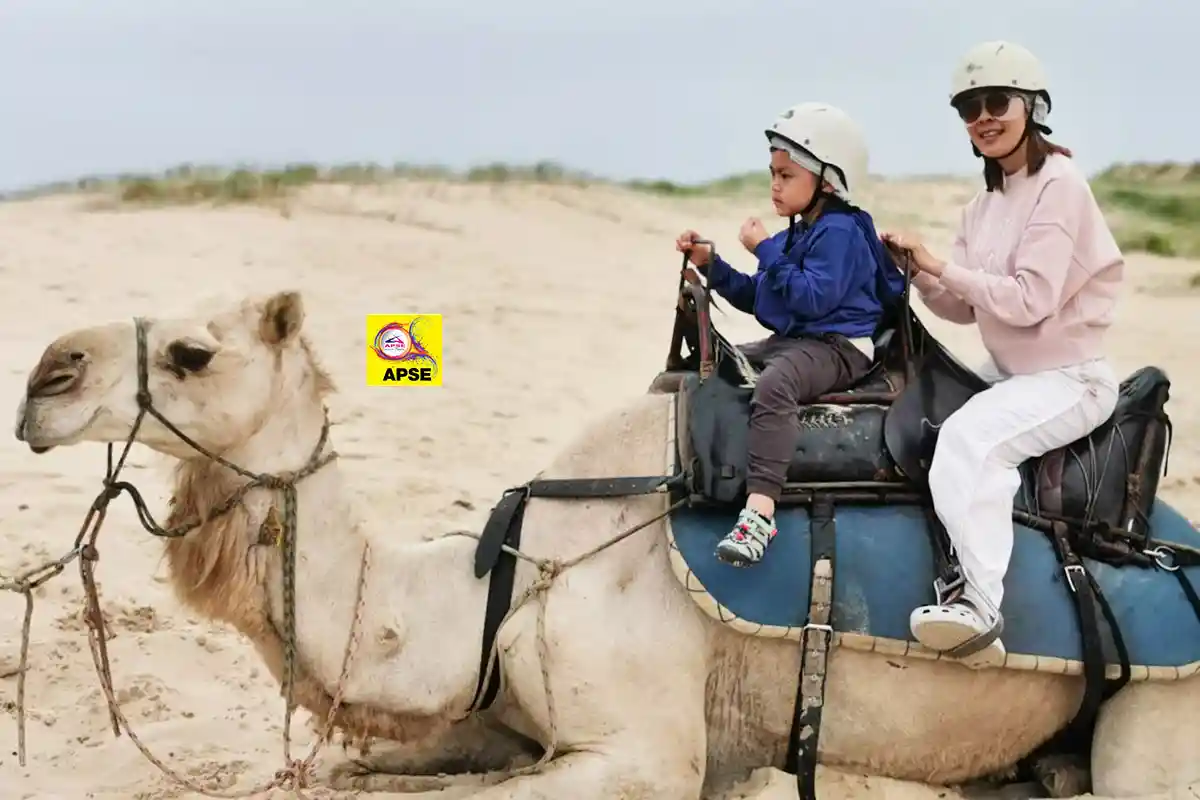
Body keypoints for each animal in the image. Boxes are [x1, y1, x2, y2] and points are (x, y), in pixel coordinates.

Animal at [11, 288, 1200, 800]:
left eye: (193, 352)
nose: (44, 377)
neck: (507, 575)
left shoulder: (643, 748)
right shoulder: (493, 713)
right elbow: (368, 769)